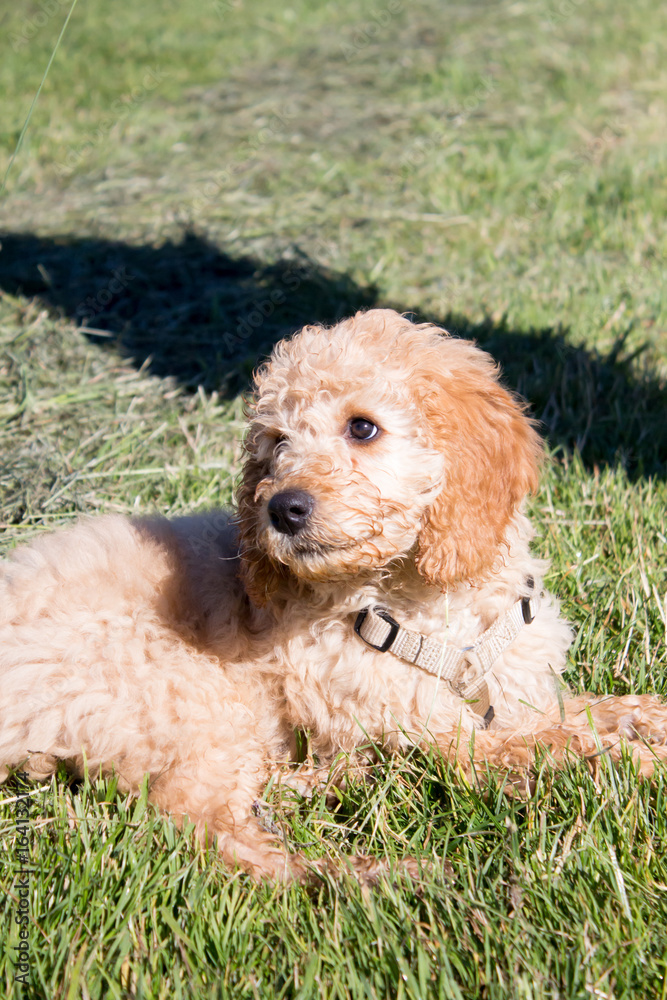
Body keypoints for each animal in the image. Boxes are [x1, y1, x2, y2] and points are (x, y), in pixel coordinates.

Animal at [1, 308, 667, 880]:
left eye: (362, 427)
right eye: (276, 443)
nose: (281, 509)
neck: (420, 606)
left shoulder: (512, 693)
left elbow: (575, 712)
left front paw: (644, 718)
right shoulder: (432, 731)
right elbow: (541, 749)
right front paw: (630, 760)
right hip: (195, 697)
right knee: (205, 827)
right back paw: (372, 877)